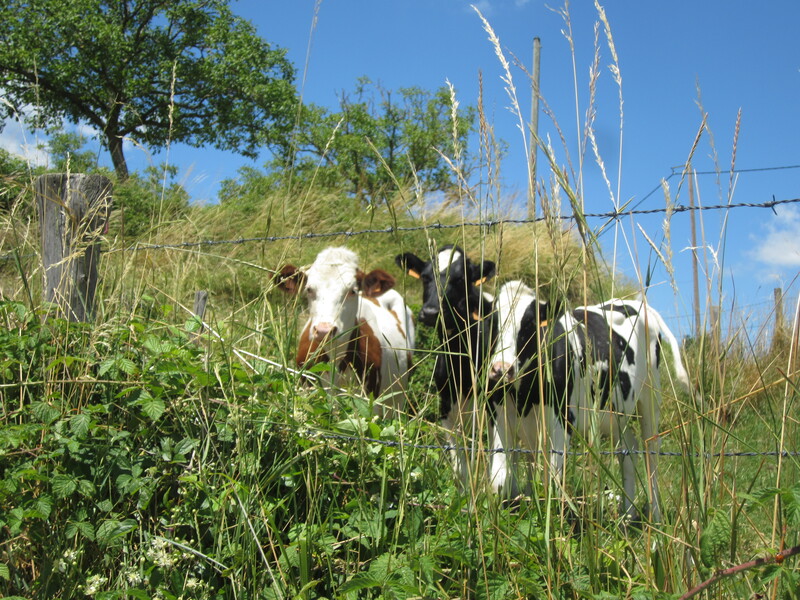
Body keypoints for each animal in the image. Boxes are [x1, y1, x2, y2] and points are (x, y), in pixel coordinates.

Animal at [396, 246, 500, 490]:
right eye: (425, 277)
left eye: (460, 278)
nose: (431, 313)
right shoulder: (446, 406)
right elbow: (460, 465)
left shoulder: (491, 407)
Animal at [484, 282, 692, 520]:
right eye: (492, 321)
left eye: (530, 324)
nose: (501, 369)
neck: (525, 395)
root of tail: (636, 303)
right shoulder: (498, 419)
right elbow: (499, 480)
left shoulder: (562, 421)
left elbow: (552, 481)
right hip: (613, 414)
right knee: (629, 448)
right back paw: (628, 516)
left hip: (651, 395)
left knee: (652, 450)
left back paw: (655, 516)